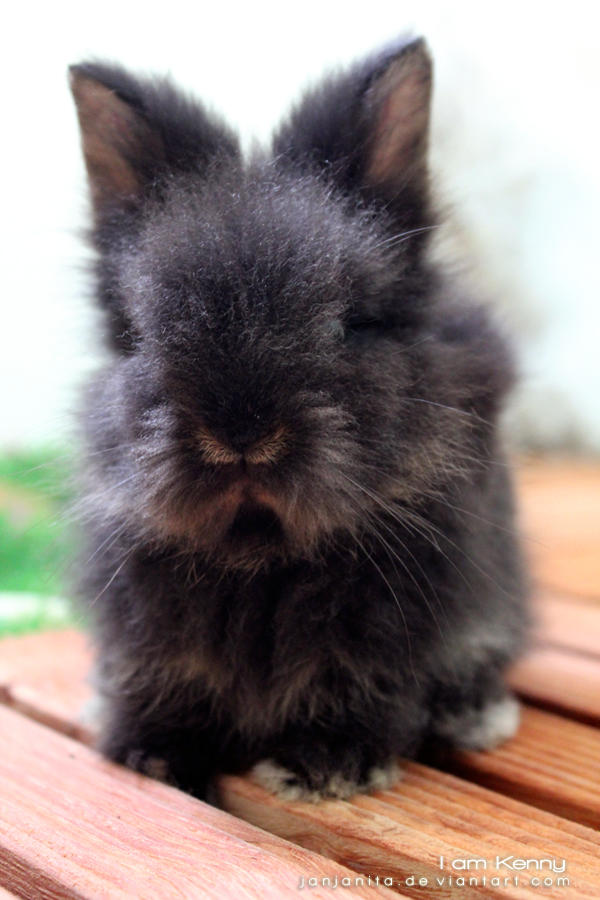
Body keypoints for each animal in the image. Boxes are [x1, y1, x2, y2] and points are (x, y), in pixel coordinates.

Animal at [69, 37, 529, 802]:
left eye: (348, 324)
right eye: (143, 333)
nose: (241, 435)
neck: (260, 553)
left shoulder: (387, 619)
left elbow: (352, 679)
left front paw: (324, 769)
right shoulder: (149, 622)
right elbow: (166, 676)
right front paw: (154, 756)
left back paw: (475, 717)